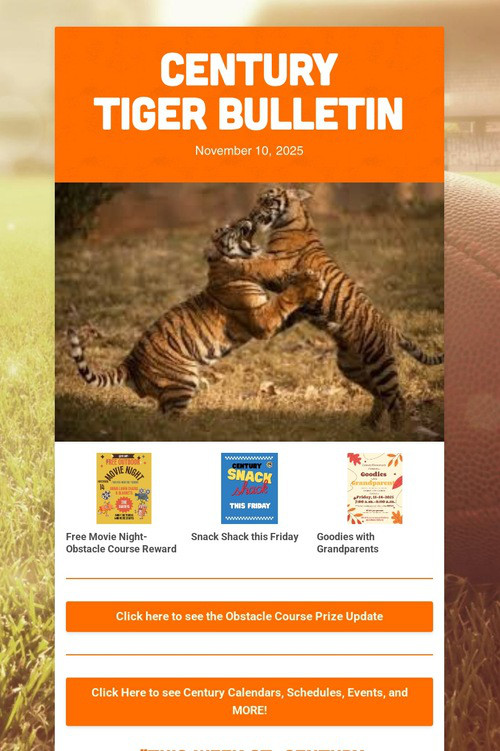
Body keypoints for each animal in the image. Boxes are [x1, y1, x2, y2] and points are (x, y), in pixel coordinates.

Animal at [67, 218, 324, 416]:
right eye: (227, 228)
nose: (247, 220)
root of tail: (130, 362)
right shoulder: (262, 320)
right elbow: (286, 298)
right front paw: (312, 283)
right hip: (182, 381)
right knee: (169, 419)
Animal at [240, 186, 443, 430]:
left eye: (267, 200)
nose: (251, 214)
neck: (292, 220)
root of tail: (392, 329)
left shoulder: (274, 264)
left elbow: (251, 263)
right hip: (352, 366)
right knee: (381, 395)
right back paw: (369, 424)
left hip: (379, 363)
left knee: (397, 398)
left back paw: (396, 430)